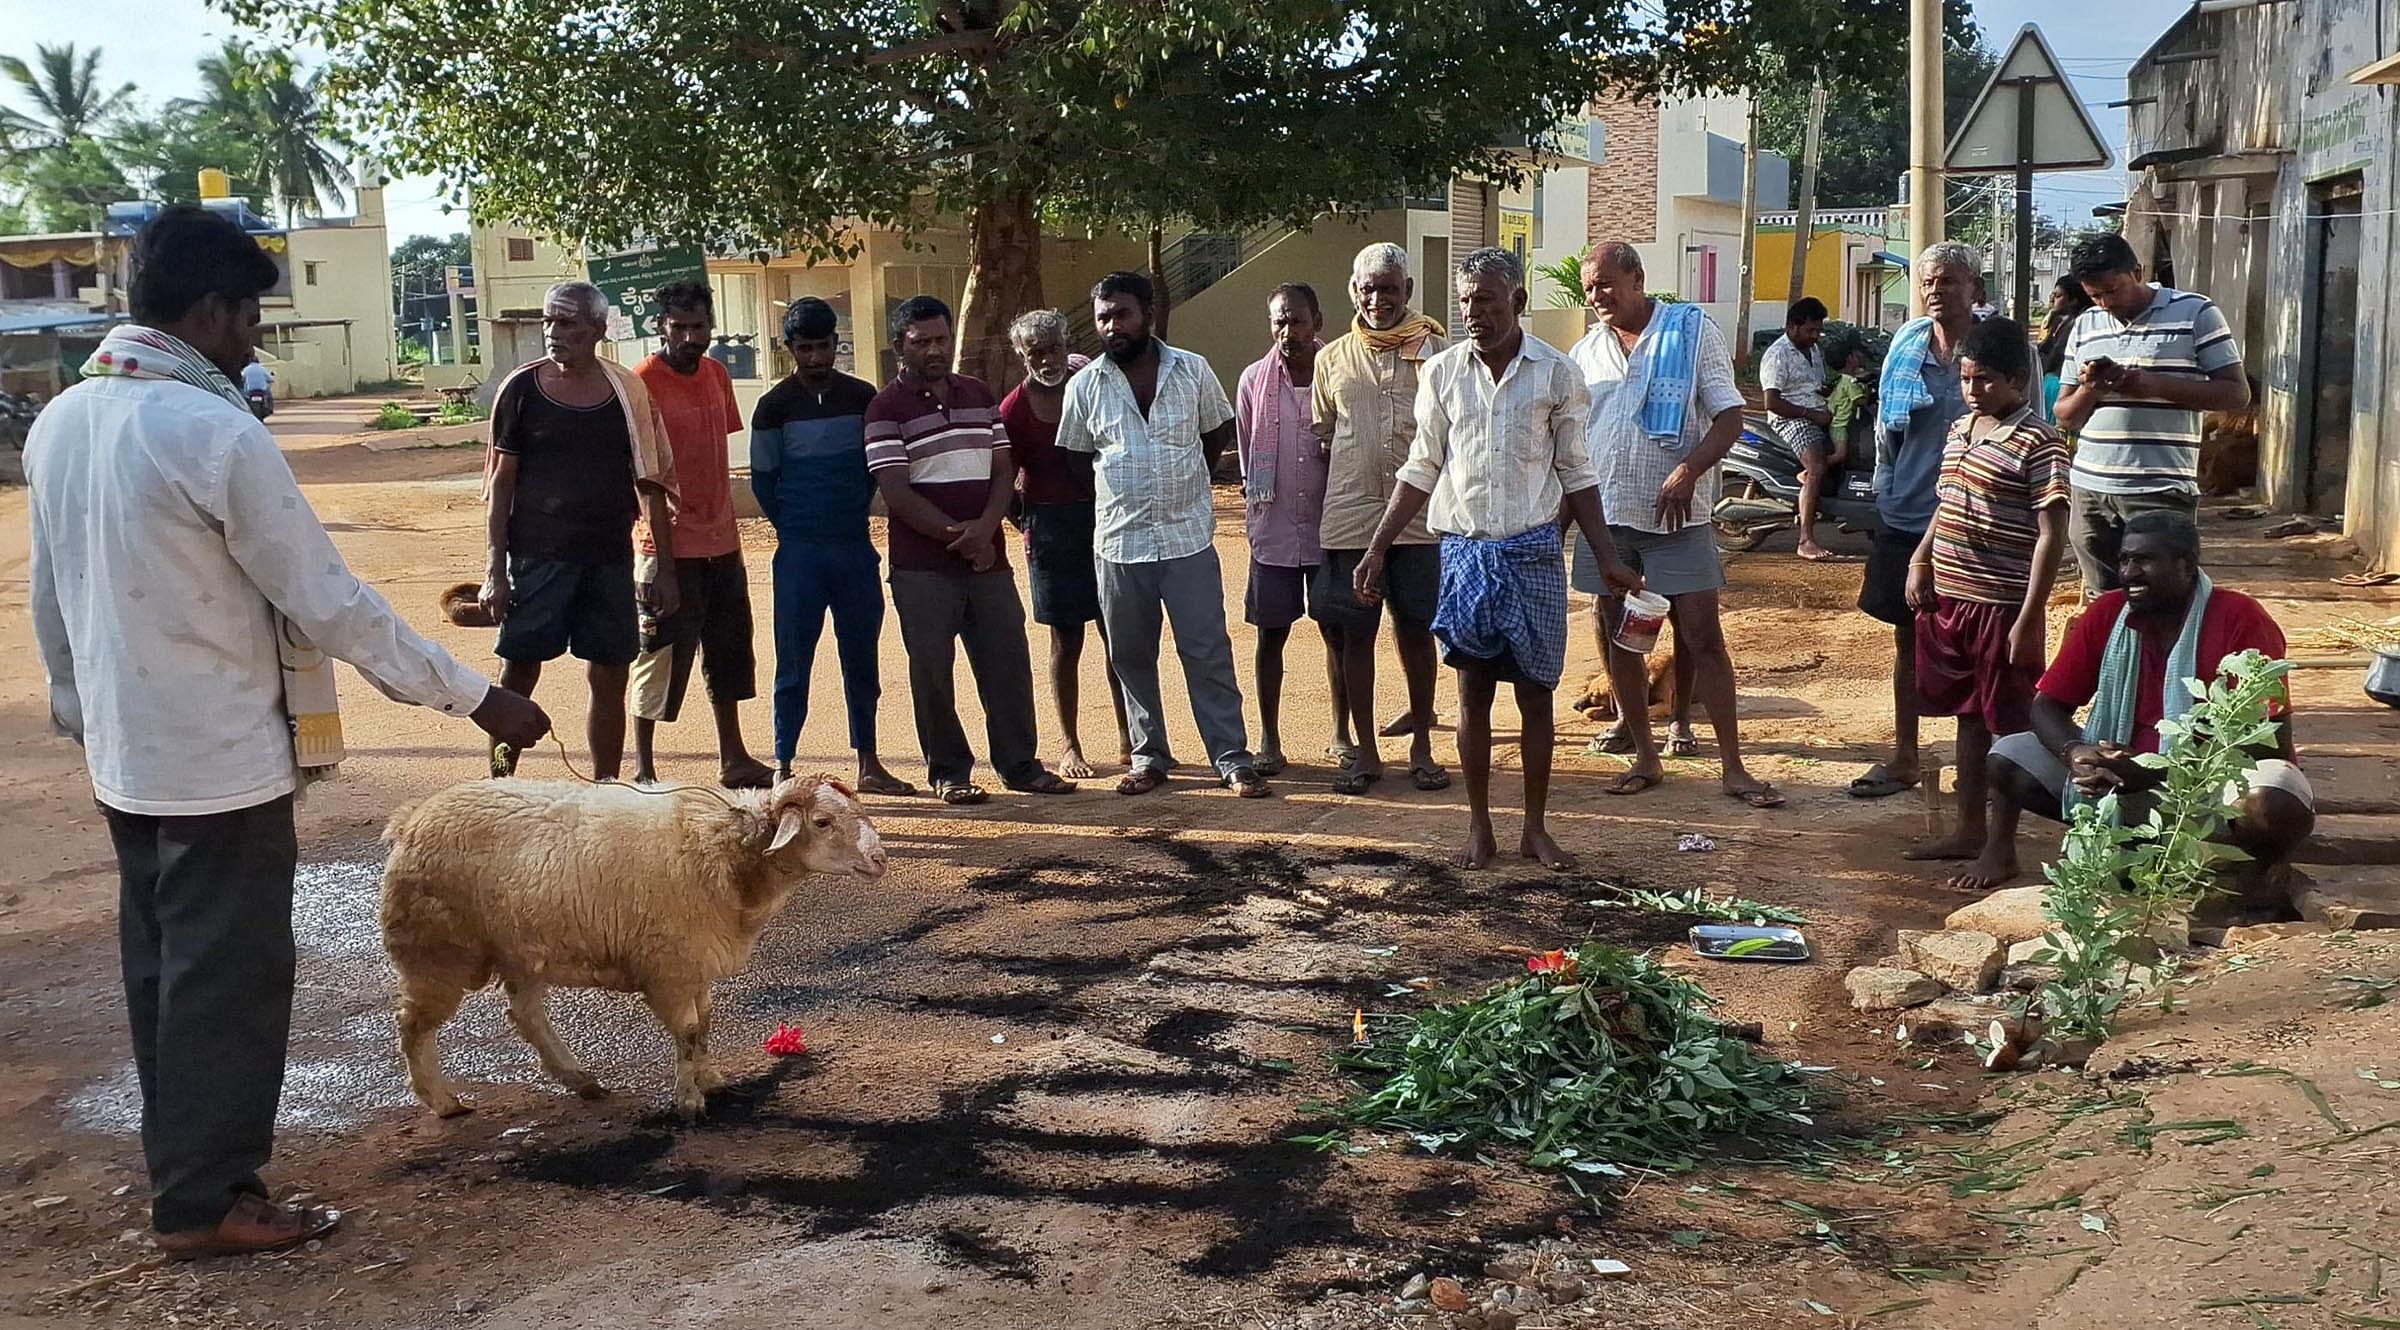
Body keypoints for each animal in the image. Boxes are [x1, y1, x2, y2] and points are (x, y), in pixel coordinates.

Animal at [379, 768, 888, 1118]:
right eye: (822, 822)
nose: (881, 859)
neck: (725, 852)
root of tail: (409, 821)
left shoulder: (693, 962)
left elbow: (704, 1024)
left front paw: (711, 1078)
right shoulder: (669, 965)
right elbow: (687, 1031)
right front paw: (688, 1100)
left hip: (520, 949)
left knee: (525, 1015)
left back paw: (580, 1080)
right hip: (436, 951)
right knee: (413, 1026)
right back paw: (442, 1100)